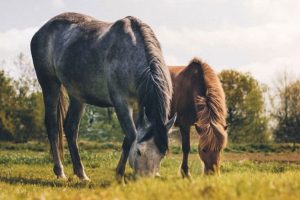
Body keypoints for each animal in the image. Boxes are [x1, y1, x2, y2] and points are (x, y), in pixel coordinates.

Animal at [30, 12, 176, 180]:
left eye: (162, 155)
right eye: (139, 152)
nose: (144, 181)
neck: (131, 53)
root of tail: (42, 30)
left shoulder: (138, 104)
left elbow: (129, 136)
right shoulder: (121, 102)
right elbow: (131, 136)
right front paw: (119, 174)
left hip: (77, 95)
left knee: (70, 128)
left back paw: (81, 174)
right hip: (50, 84)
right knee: (53, 126)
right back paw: (60, 171)